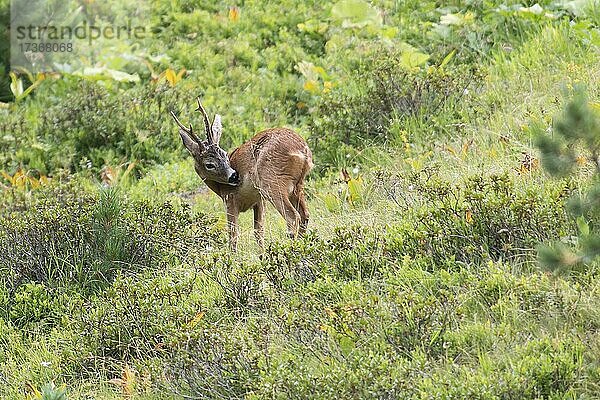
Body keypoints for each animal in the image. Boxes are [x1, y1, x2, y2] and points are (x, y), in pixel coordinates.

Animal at [169, 97, 310, 250]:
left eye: (225, 155)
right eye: (210, 164)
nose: (235, 176)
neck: (220, 188)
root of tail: (303, 150)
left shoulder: (230, 199)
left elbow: (233, 235)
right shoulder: (259, 201)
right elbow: (259, 232)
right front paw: (262, 254)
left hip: (272, 183)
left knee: (293, 217)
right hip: (297, 186)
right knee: (305, 215)